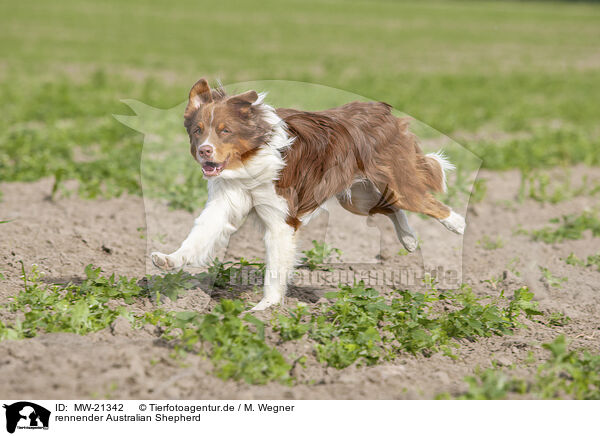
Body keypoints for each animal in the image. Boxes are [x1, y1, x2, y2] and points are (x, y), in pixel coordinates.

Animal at [151, 78, 468, 310]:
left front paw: (264, 309)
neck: (249, 162)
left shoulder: (281, 221)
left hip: (397, 182)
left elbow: (275, 269)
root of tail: (383, 110)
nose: (205, 152)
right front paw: (169, 259)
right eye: (197, 131)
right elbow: (198, 236)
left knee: (426, 202)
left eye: (225, 130)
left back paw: (458, 224)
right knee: (391, 207)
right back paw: (410, 240)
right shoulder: (224, 204)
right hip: (357, 198)